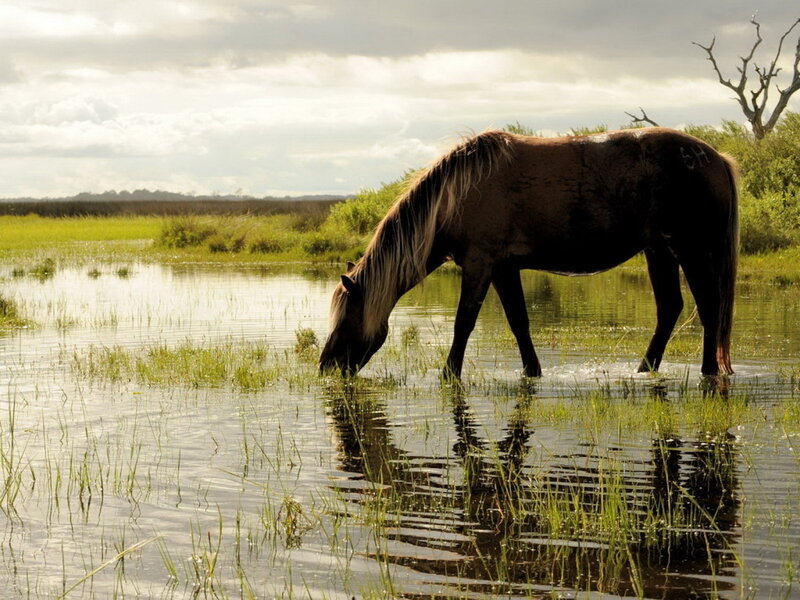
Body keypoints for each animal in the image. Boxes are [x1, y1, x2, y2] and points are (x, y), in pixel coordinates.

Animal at [318, 128, 738, 379]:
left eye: (347, 317)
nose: (326, 366)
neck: (456, 194)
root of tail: (716, 157)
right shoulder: (504, 269)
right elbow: (519, 322)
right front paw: (531, 372)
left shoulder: (480, 264)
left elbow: (463, 323)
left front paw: (449, 374)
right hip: (659, 250)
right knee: (671, 308)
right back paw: (644, 369)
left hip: (690, 248)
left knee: (709, 305)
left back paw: (707, 371)